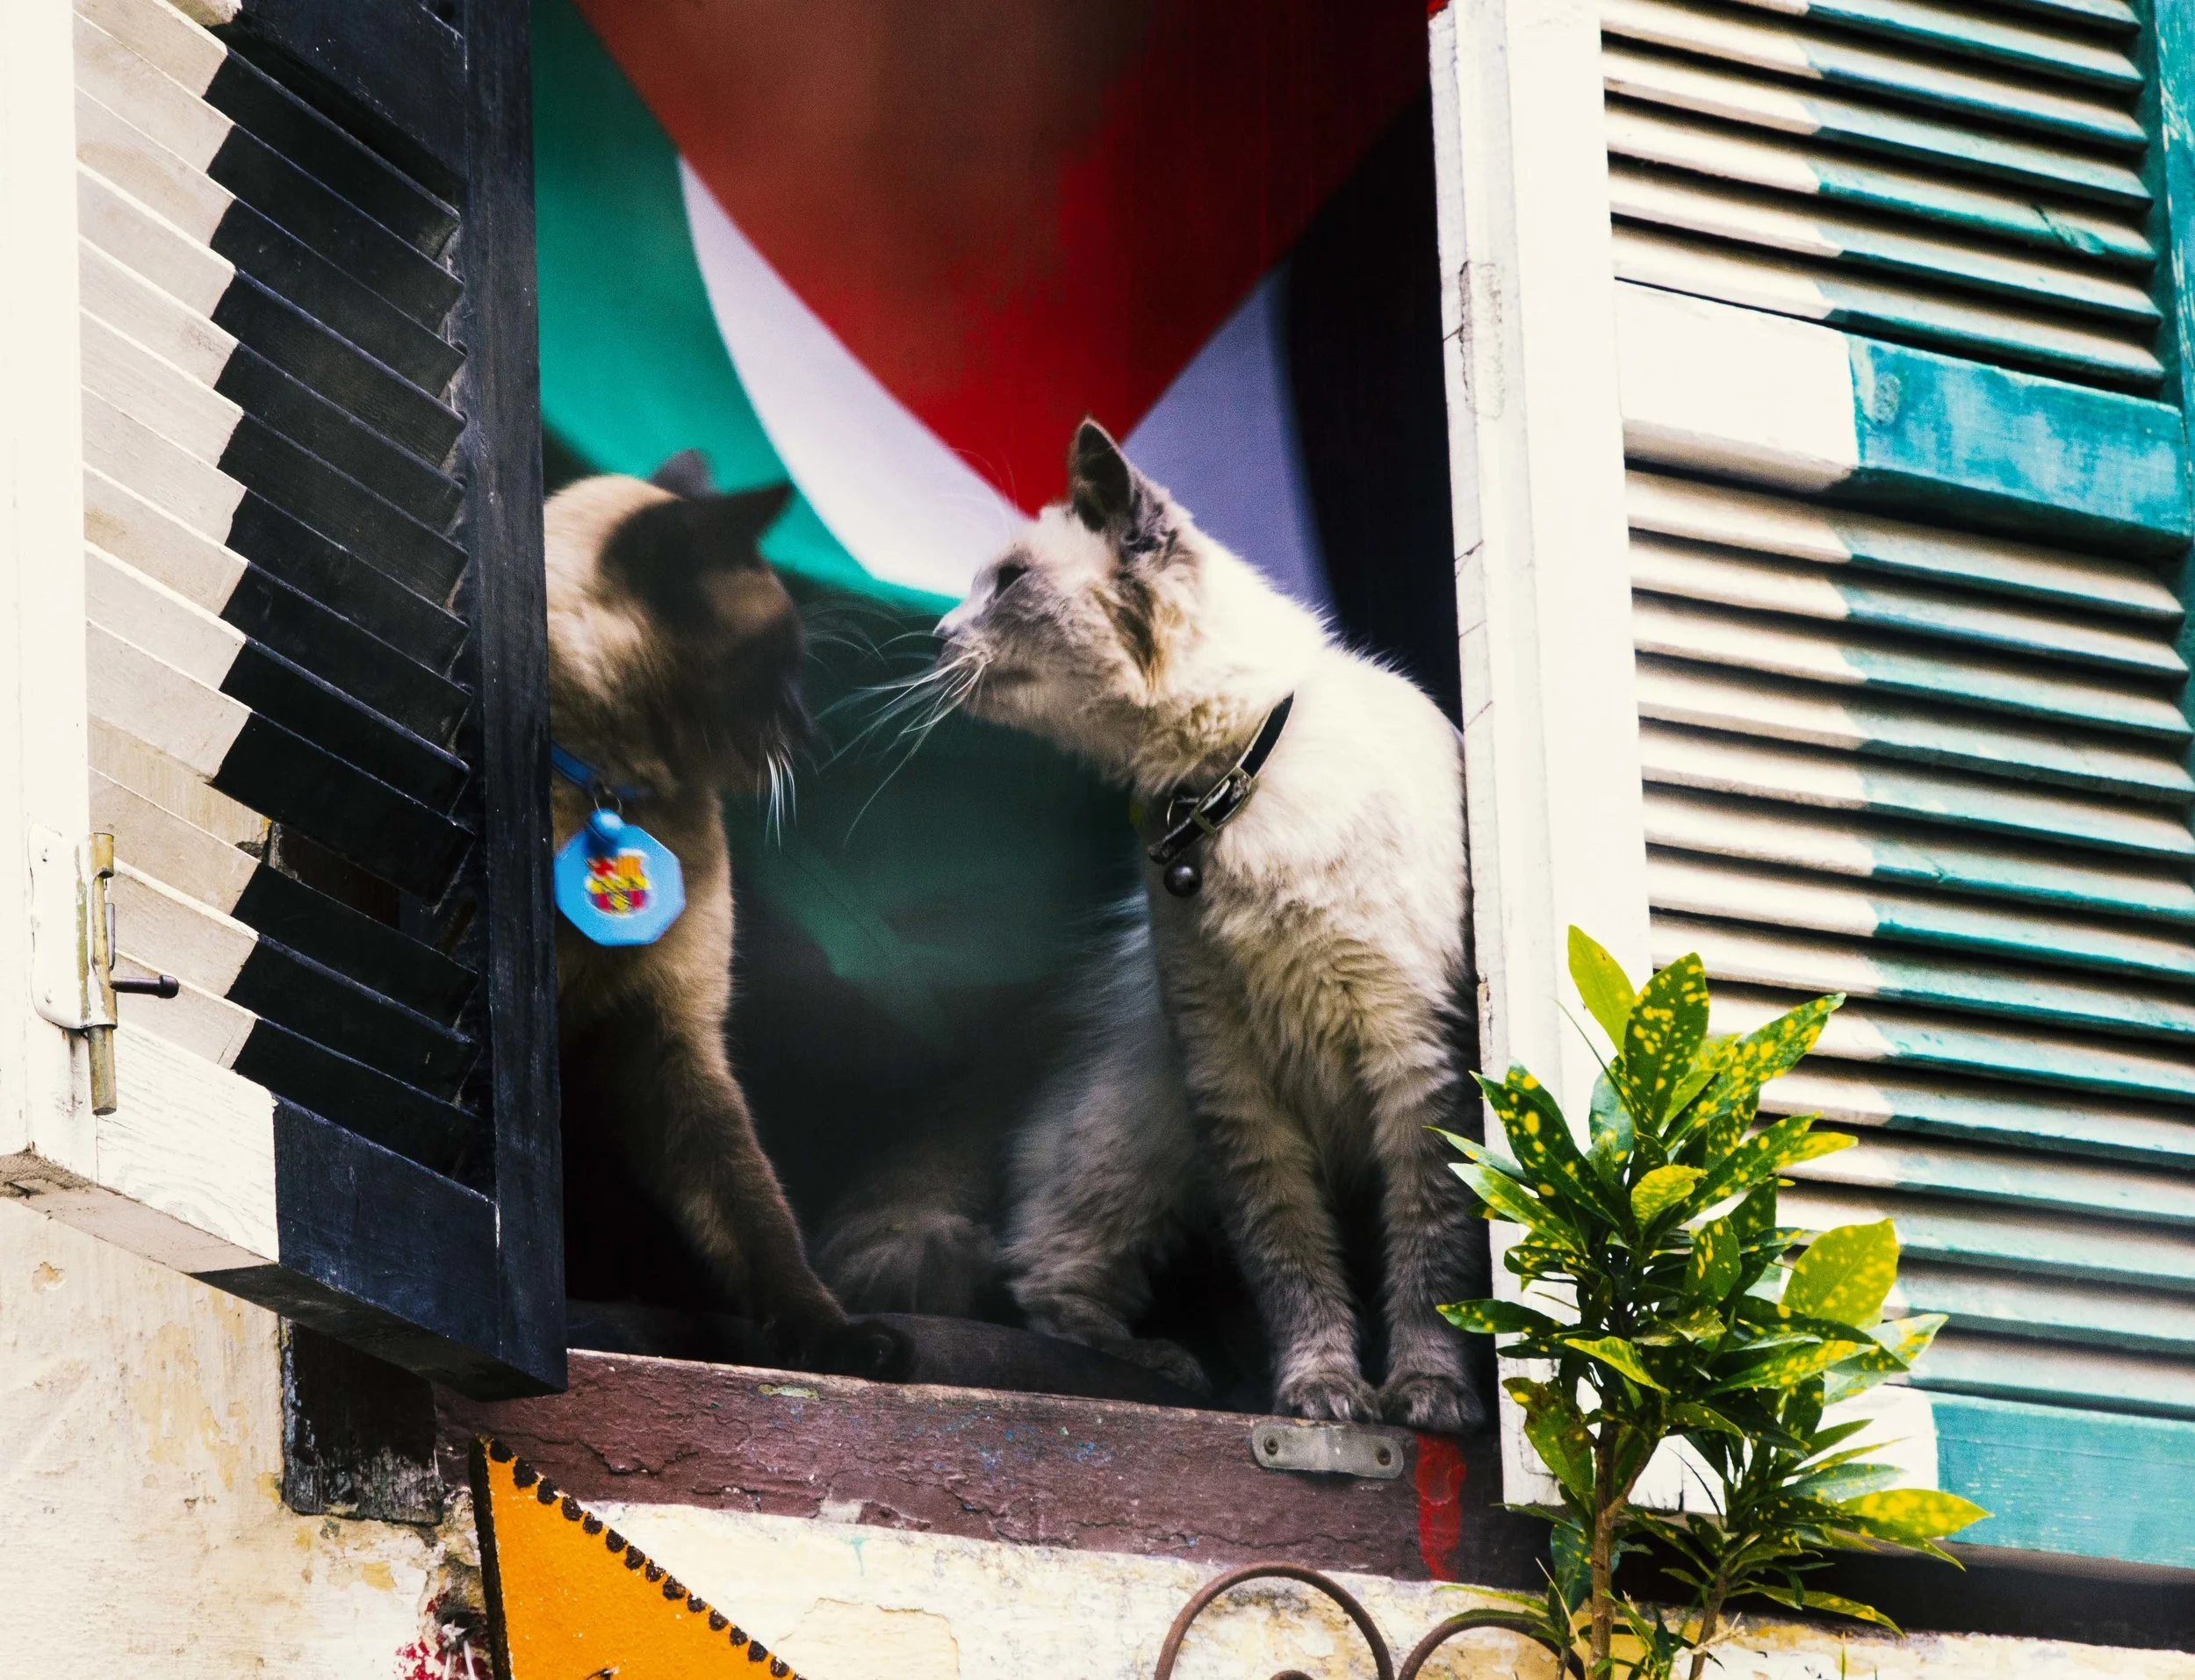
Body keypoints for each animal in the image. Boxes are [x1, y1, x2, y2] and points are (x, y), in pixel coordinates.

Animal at [545, 452, 899, 1377]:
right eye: (780, 665)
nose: (809, 734)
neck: (608, 793)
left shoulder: (670, 1040)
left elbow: (751, 1209)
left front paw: (835, 1340)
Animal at [928, 421, 1489, 1430]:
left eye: (1009, 583)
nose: (934, 634)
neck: (1220, 795)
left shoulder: (1414, 1065)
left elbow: (1431, 1253)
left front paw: (1426, 1396)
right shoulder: (1235, 1085)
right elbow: (1293, 1261)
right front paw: (1320, 1395)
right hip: (1141, 1129)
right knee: (1042, 1273)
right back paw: (1170, 1366)